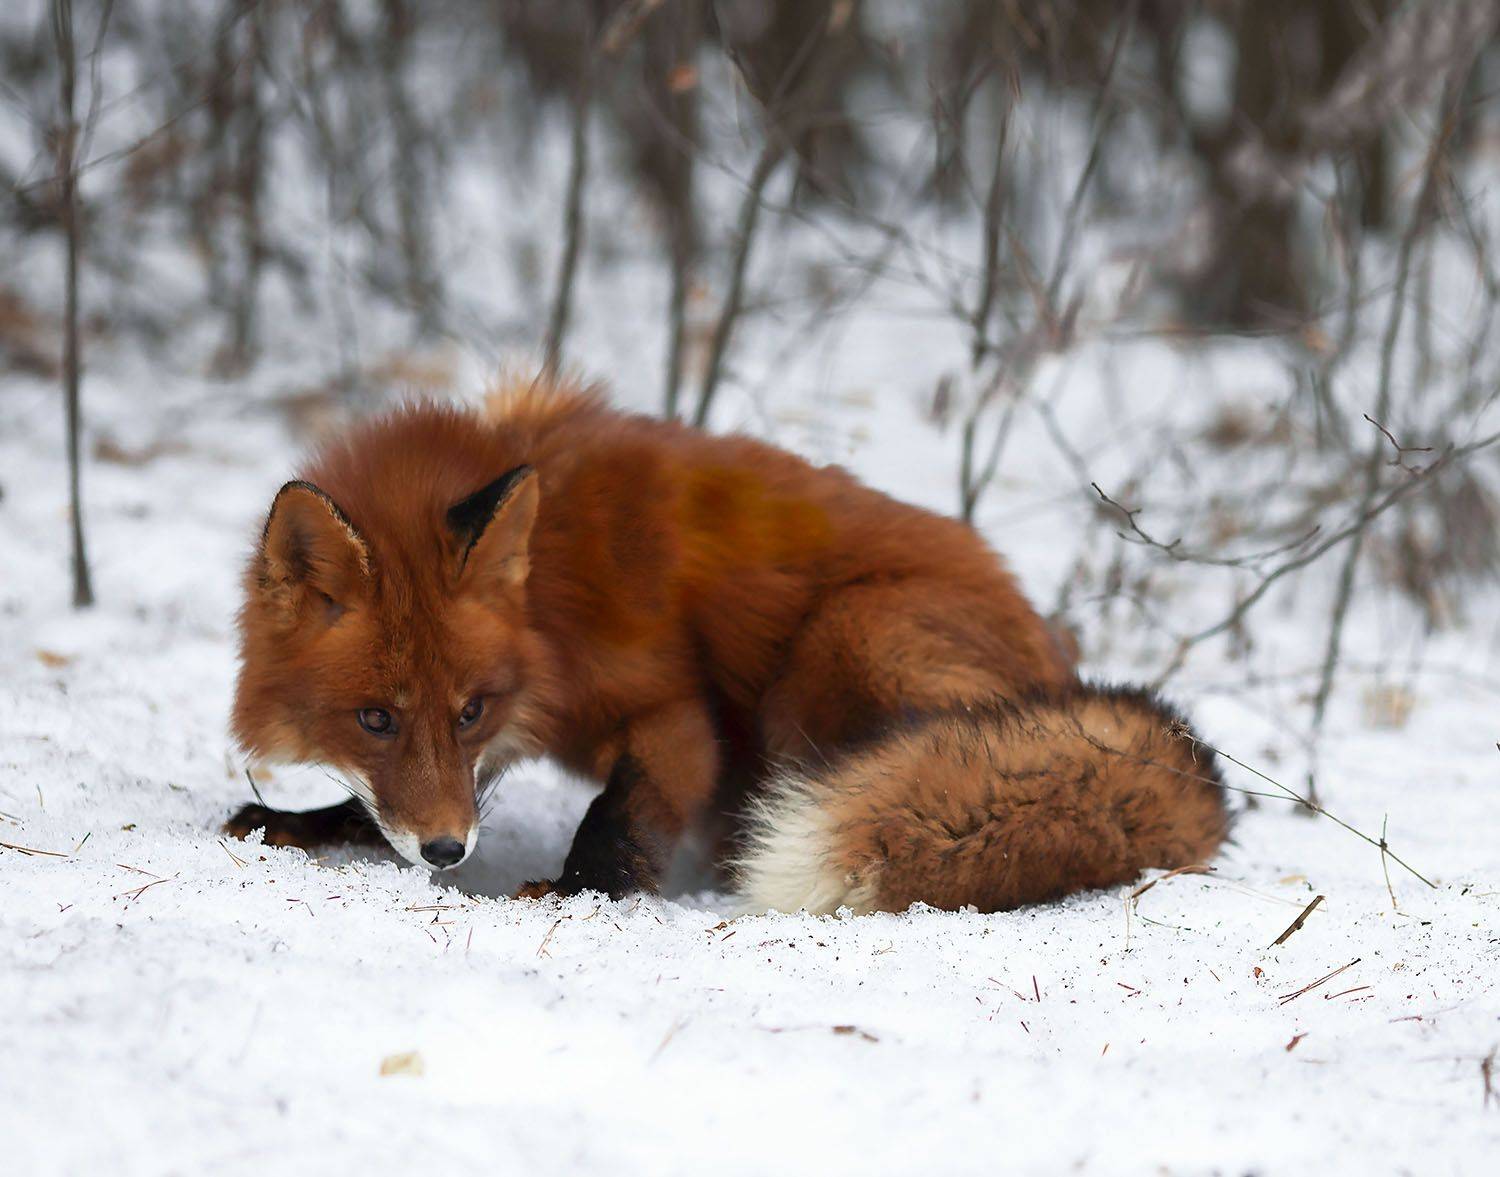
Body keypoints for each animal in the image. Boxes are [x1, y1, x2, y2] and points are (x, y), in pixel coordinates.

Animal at [226, 373, 1226, 914]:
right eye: (375, 719)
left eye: (470, 708)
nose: (445, 854)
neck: (553, 593)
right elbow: (381, 804)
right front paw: (302, 823)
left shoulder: (671, 707)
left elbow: (620, 812)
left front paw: (578, 890)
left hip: (836, 642)